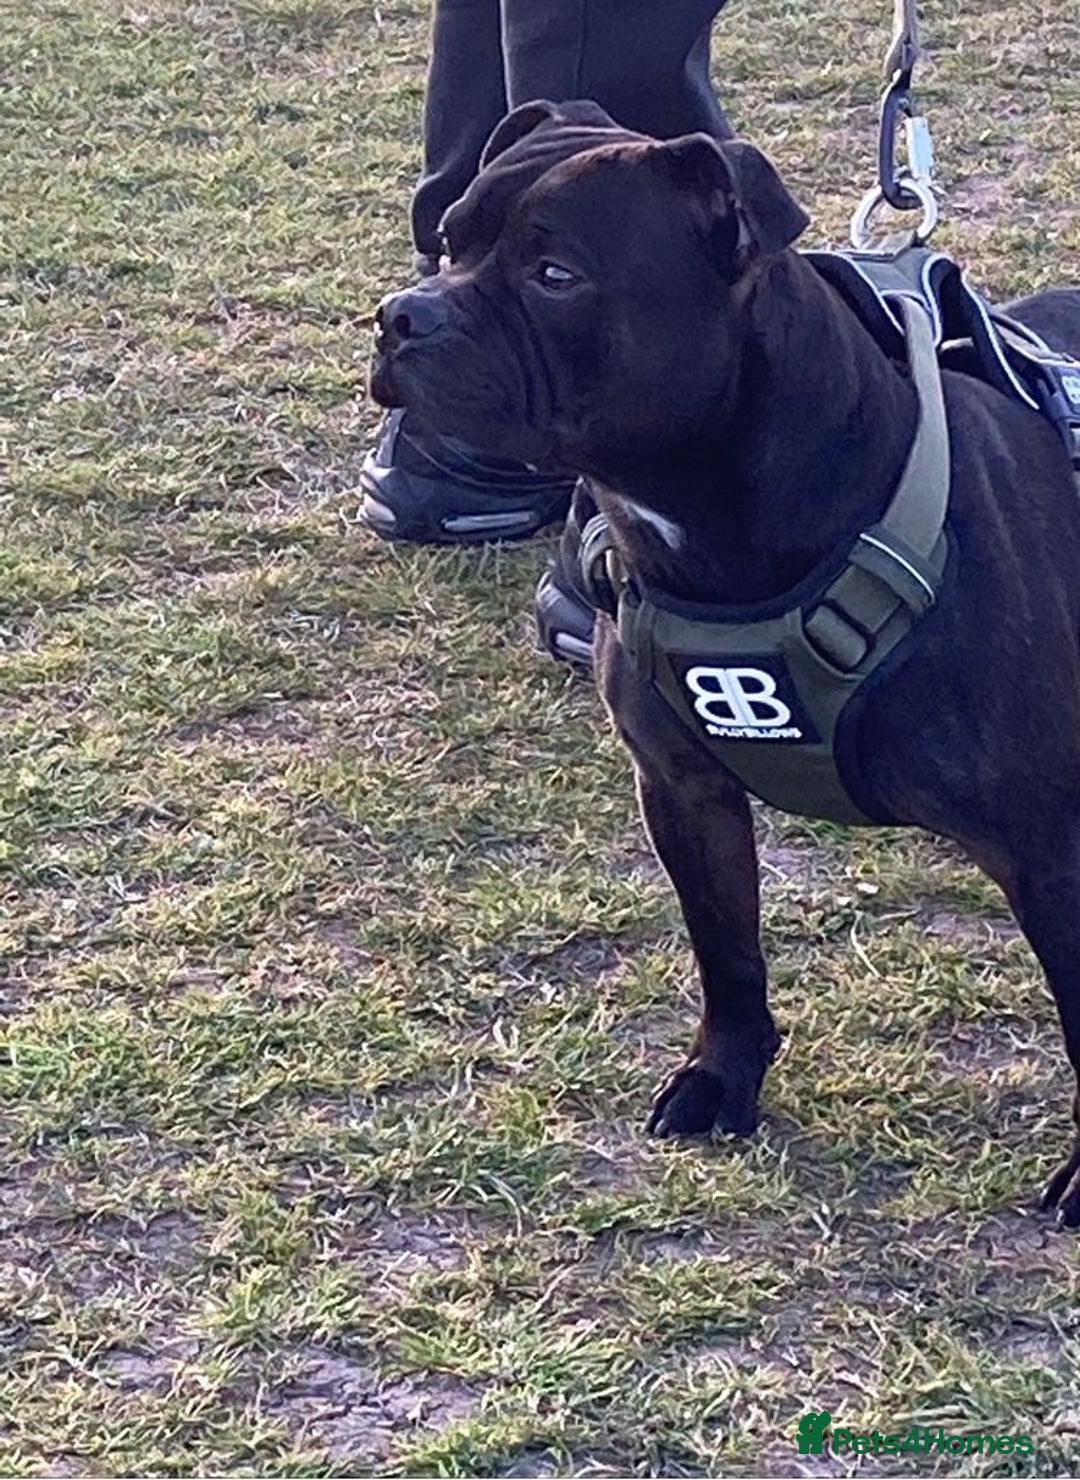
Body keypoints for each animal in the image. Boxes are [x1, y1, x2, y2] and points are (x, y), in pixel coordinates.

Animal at [370, 99, 1080, 1225]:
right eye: (447, 242)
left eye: (556, 275)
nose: (403, 316)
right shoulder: (683, 789)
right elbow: (728, 949)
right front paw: (725, 1077)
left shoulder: (1048, 849)